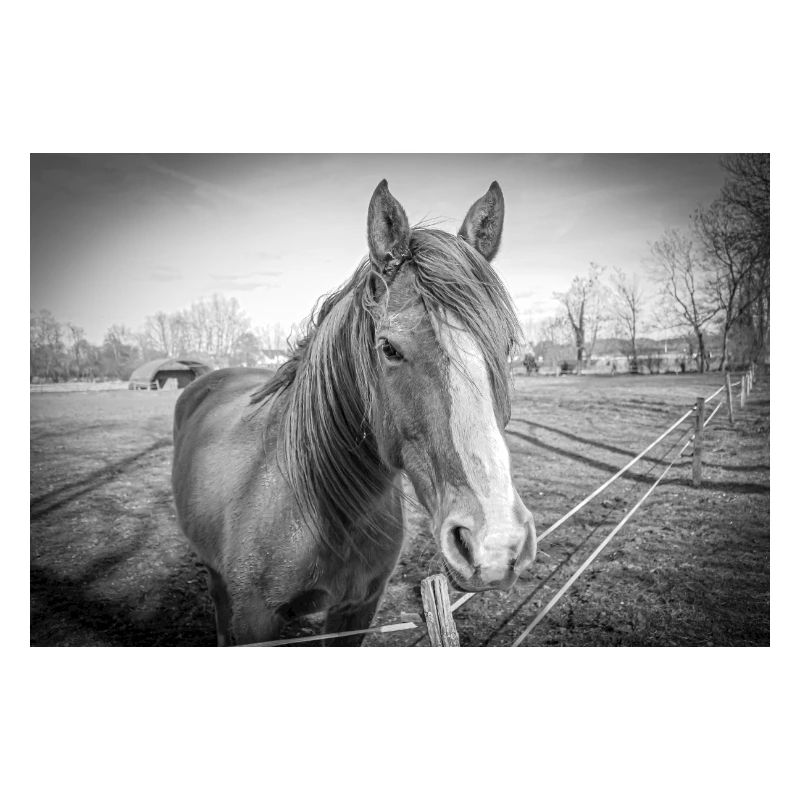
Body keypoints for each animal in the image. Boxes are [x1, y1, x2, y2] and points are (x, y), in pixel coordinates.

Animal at [171, 179, 537, 646]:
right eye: (389, 348)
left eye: (506, 345)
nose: (495, 544)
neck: (318, 503)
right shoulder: (255, 617)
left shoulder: (357, 608)